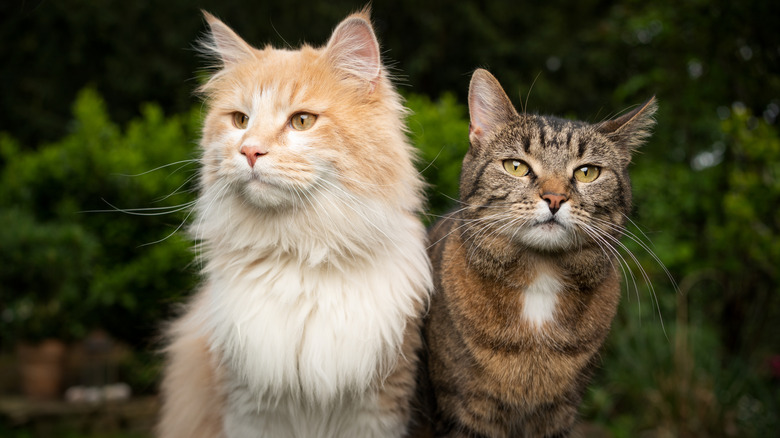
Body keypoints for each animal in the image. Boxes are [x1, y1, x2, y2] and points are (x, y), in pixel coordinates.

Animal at [155, 10, 430, 438]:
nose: (249, 150)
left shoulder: (377, 407)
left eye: (302, 121)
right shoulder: (250, 409)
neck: (299, 253)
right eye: (240, 120)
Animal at [418, 70, 656, 436]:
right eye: (516, 166)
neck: (540, 281)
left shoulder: (558, 414)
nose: (555, 198)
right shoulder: (465, 411)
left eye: (587, 172)